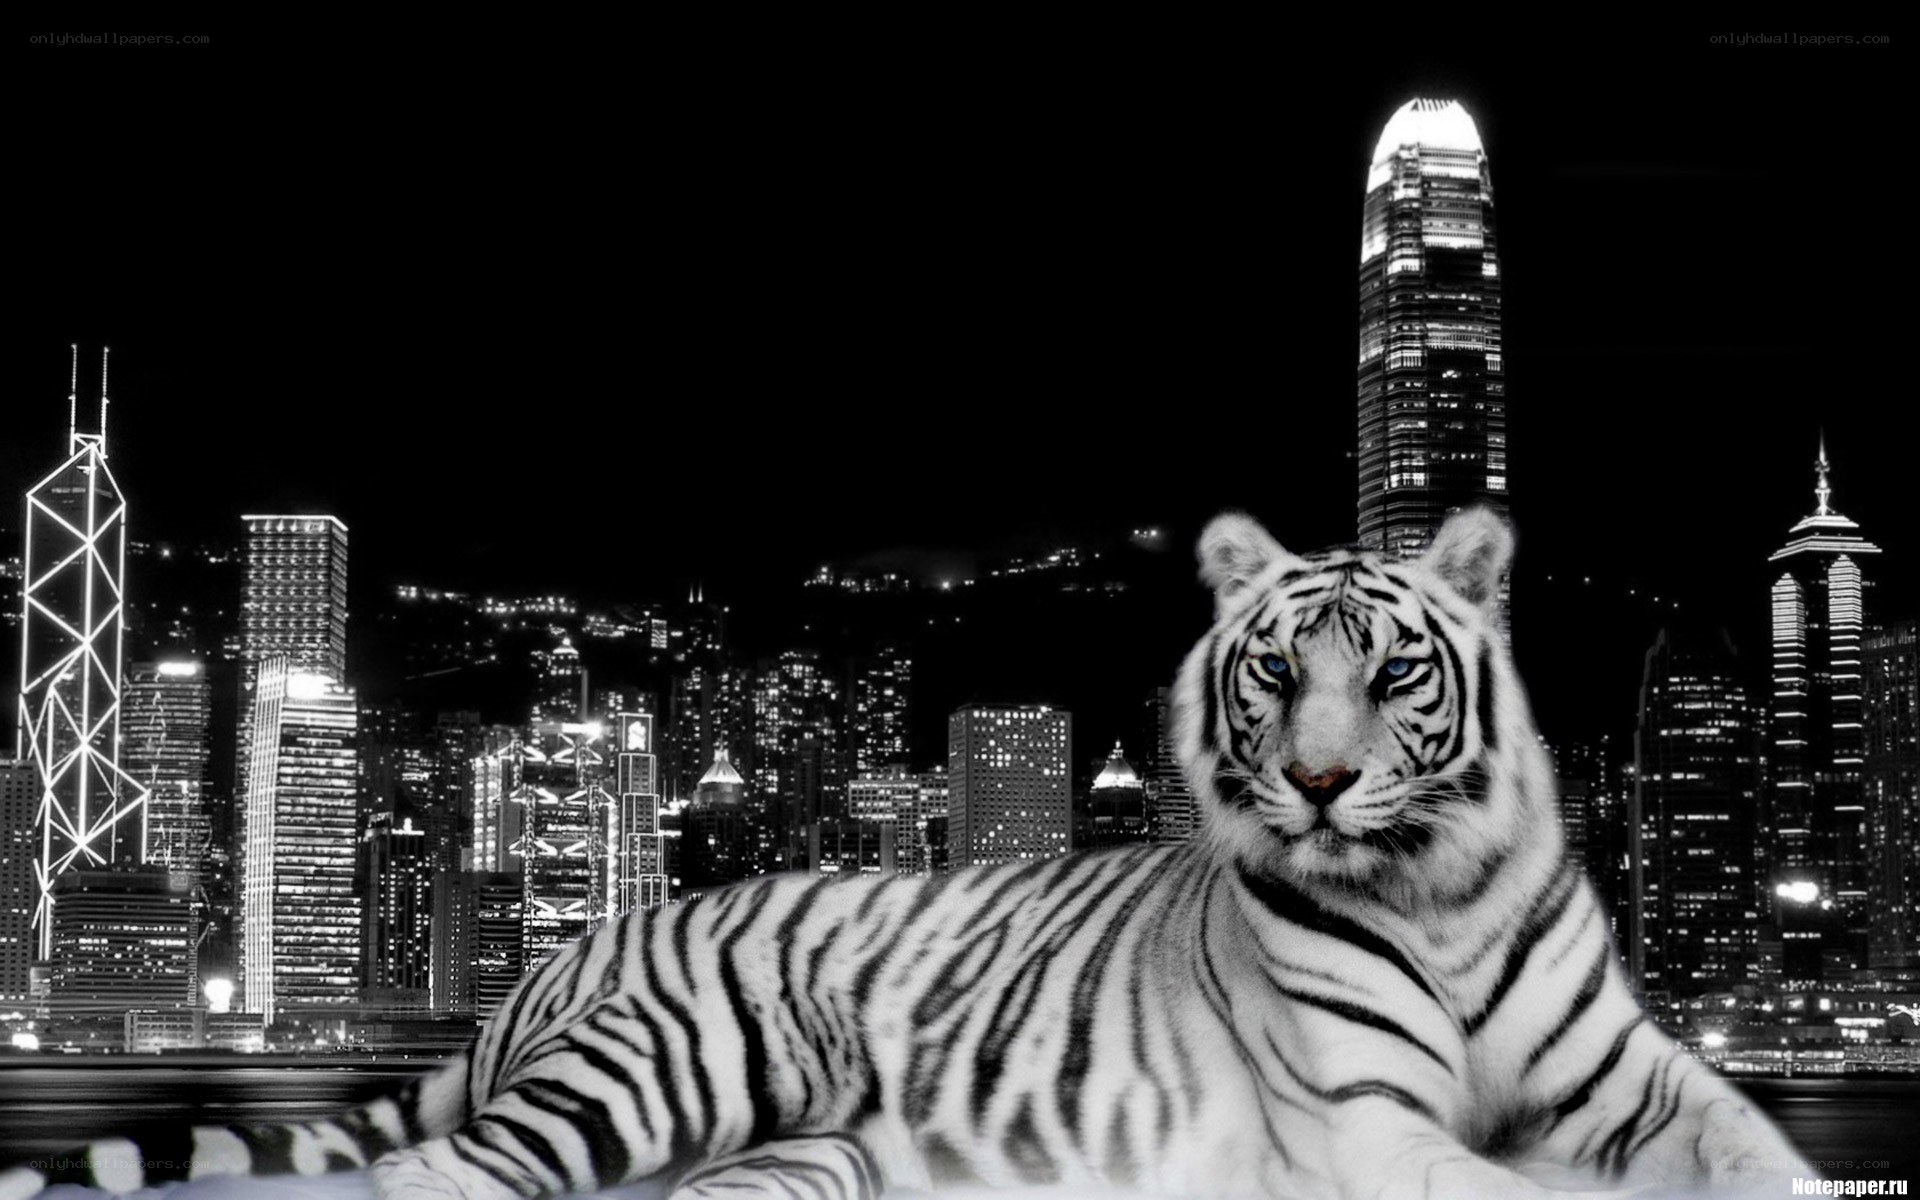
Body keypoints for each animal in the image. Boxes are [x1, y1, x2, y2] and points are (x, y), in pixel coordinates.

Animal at [0, 507, 1815, 1200]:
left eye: (1393, 676)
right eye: (1275, 672)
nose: (1311, 785)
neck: (1440, 894)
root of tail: (575, 947)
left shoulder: (1646, 1079)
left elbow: (1760, 1156)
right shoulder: (1365, 1124)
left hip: (820, 1147)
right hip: (666, 1066)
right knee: (438, 1179)